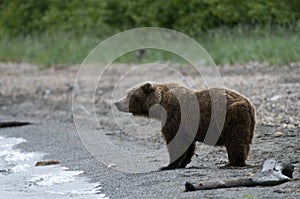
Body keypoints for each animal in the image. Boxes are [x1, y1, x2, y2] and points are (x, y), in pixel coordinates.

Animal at [115, 81, 255, 170]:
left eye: (129, 95)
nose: (117, 103)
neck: (160, 105)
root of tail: (249, 103)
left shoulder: (175, 115)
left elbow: (175, 141)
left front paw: (167, 165)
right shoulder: (186, 126)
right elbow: (187, 144)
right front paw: (182, 163)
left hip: (232, 116)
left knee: (235, 141)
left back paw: (232, 163)